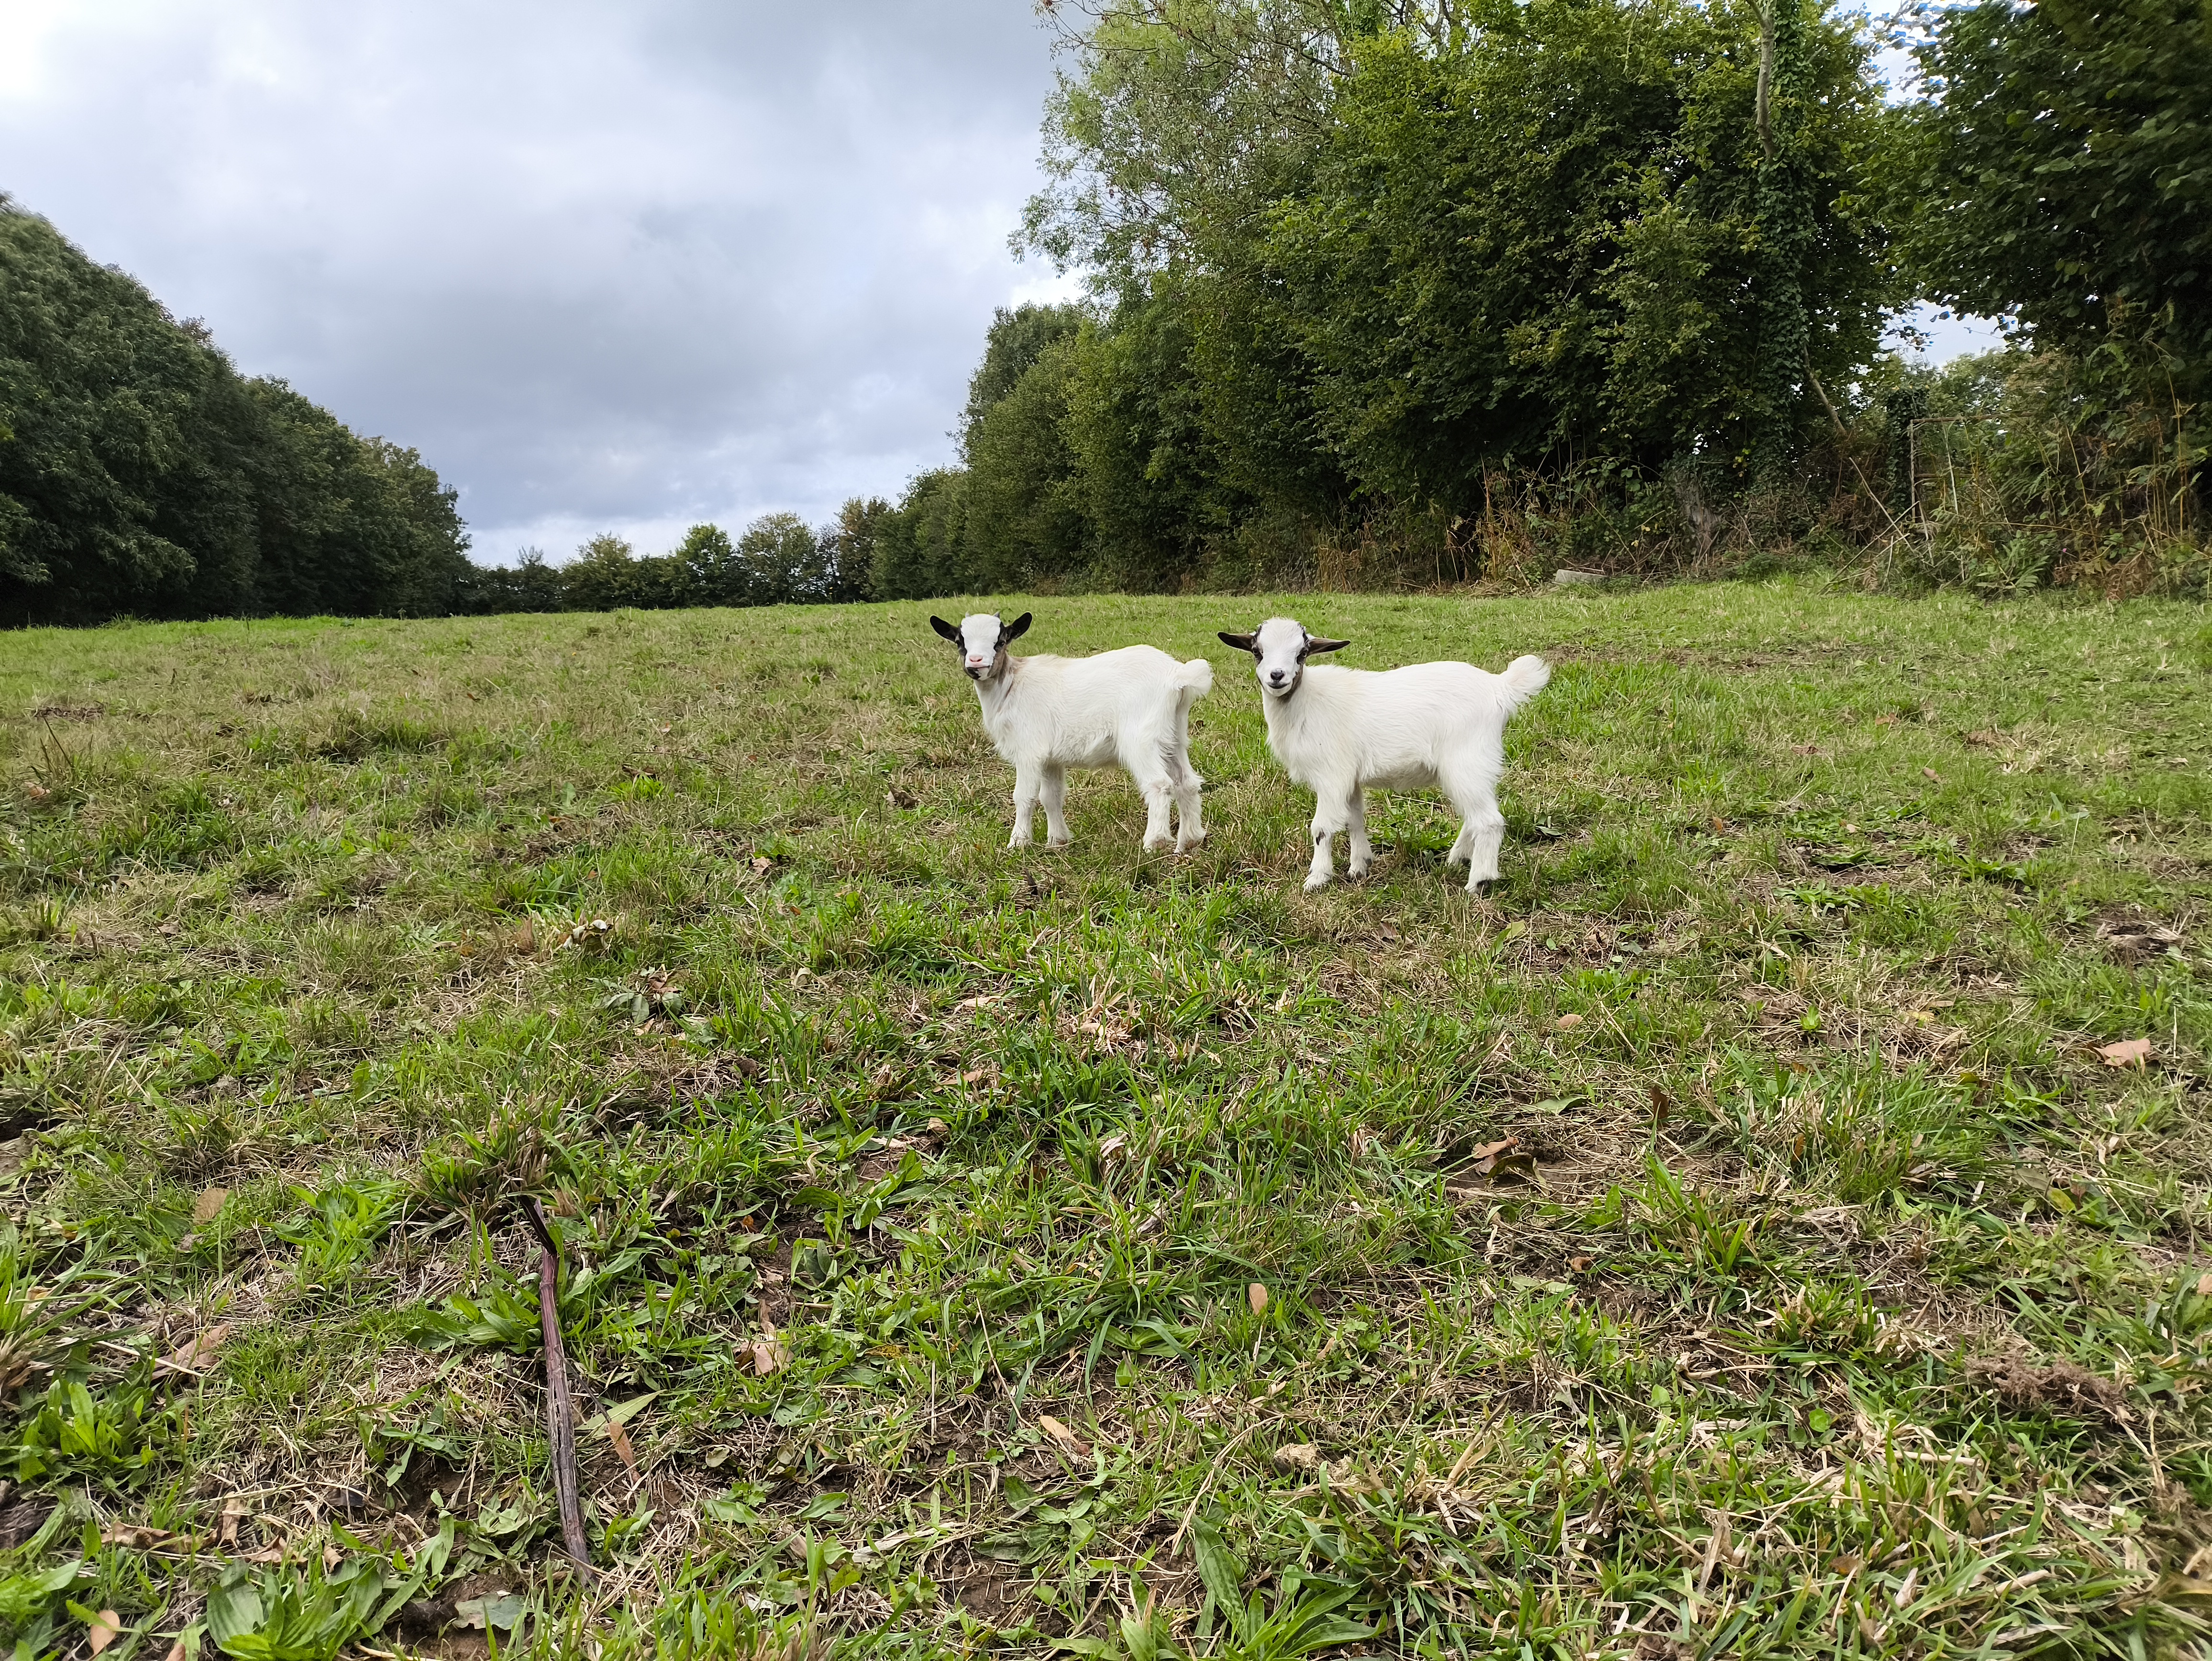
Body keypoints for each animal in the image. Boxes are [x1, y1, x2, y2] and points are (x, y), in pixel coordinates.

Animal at [930, 612, 1214, 852]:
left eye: (1000, 642)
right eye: (960, 642)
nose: (975, 662)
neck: (1011, 685)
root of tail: (1177, 675)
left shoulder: (1029, 750)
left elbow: (1024, 796)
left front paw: (1018, 843)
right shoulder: (1050, 758)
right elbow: (1051, 797)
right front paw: (1057, 842)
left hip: (1141, 738)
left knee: (1159, 784)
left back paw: (1154, 843)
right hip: (1173, 736)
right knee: (1186, 782)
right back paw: (1190, 841)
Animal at [1217, 617, 1549, 892]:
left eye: (1302, 653)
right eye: (1257, 651)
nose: (1277, 675)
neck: (1305, 702)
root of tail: (1500, 688)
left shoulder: (1332, 775)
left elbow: (1321, 828)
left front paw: (1317, 878)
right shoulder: (1349, 778)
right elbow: (1354, 819)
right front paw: (1359, 867)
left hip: (1467, 760)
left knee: (1489, 820)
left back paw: (1479, 882)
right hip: (1468, 767)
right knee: (1475, 815)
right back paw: (1456, 860)